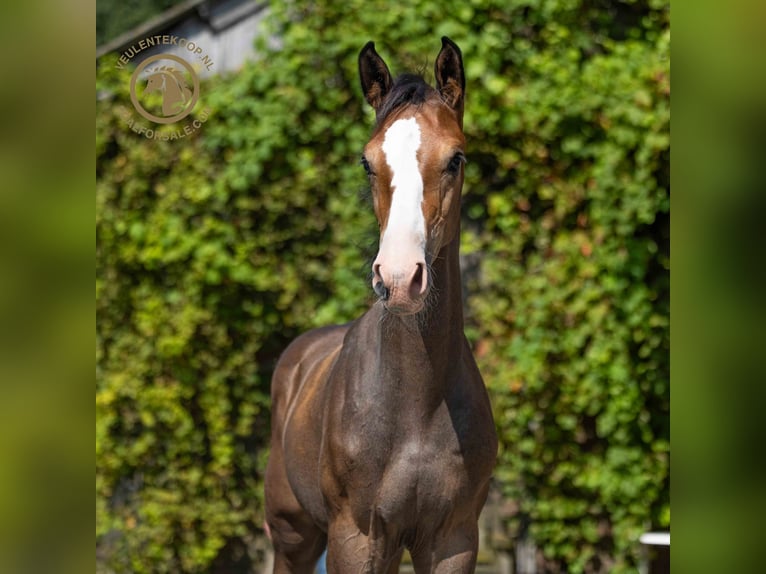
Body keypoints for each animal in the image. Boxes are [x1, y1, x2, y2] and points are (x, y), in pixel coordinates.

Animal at [268, 38, 500, 572]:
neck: (416, 401)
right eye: (367, 162)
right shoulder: (356, 536)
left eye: (456, 158)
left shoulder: (453, 538)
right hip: (292, 536)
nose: (397, 278)